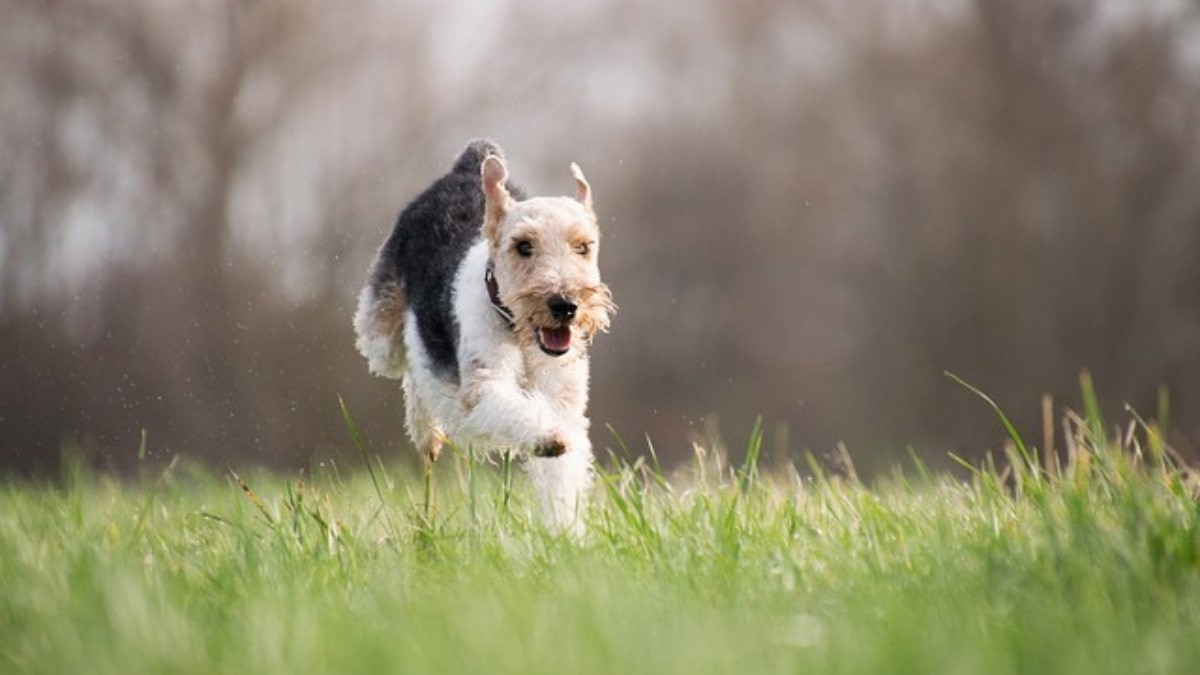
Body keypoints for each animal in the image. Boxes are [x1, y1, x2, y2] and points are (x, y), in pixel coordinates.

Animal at [350, 140, 614, 530]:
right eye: (523, 246)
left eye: (583, 246)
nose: (565, 305)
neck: (518, 333)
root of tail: (467, 163)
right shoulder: (483, 385)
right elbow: (514, 409)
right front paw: (547, 436)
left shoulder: (565, 400)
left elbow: (562, 474)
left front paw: (566, 533)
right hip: (380, 336)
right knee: (411, 367)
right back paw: (427, 433)